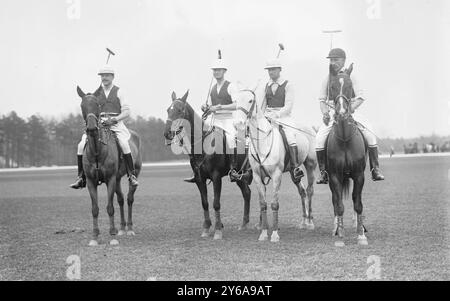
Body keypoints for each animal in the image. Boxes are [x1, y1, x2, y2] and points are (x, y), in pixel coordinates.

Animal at [76, 85, 142, 245]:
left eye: (97, 105)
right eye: (82, 106)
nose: (91, 128)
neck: (97, 152)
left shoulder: (110, 179)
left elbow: (110, 207)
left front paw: (112, 235)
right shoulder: (91, 182)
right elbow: (95, 208)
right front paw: (95, 236)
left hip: (134, 173)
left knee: (129, 199)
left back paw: (129, 229)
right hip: (117, 179)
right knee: (121, 199)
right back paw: (122, 229)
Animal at [163, 90, 253, 238]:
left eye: (180, 110)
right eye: (168, 110)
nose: (167, 133)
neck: (203, 144)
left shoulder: (216, 177)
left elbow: (216, 203)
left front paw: (218, 230)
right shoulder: (200, 179)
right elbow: (204, 203)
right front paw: (206, 229)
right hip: (240, 176)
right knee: (247, 193)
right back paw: (244, 224)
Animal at [234, 88, 318, 241]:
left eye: (250, 100)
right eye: (236, 101)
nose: (238, 123)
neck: (263, 141)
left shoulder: (276, 176)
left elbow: (274, 204)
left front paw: (274, 235)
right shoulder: (257, 177)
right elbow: (263, 204)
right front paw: (263, 234)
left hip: (310, 165)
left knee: (309, 190)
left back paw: (310, 223)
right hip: (293, 172)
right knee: (302, 191)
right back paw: (303, 222)